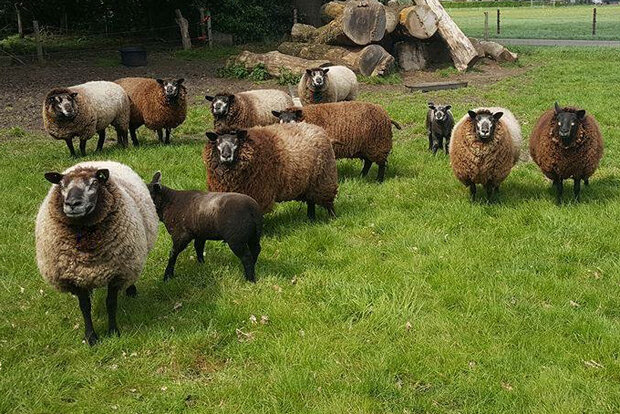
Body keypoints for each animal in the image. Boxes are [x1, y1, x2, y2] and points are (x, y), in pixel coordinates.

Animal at [35, 160, 159, 344]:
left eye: (94, 184)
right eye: (62, 185)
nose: (73, 204)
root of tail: (93, 162)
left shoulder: (117, 272)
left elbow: (111, 303)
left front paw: (113, 331)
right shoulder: (74, 276)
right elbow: (85, 307)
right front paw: (91, 337)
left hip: (133, 259)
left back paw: (131, 290)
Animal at [202, 123, 340, 220]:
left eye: (236, 141)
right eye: (218, 142)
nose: (226, 155)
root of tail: (318, 128)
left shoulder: (258, 194)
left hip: (324, 178)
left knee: (327, 201)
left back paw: (332, 218)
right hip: (309, 183)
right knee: (311, 201)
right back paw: (310, 218)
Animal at [272, 100, 402, 181]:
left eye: (292, 120)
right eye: (280, 120)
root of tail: (386, 116)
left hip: (378, 145)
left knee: (381, 164)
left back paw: (378, 180)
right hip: (366, 147)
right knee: (368, 162)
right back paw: (362, 176)